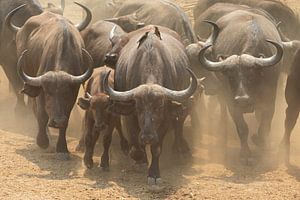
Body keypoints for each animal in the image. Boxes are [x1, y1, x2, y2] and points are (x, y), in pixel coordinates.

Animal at [7, 2, 94, 159]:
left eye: (66, 93)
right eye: (48, 93)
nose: (57, 121)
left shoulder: (73, 93)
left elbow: (66, 119)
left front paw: (62, 147)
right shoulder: (40, 88)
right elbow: (41, 115)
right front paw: (42, 141)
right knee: (35, 108)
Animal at [103, 25, 199, 185]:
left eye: (159, 107)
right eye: (138, 108)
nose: (147, 136)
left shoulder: (165, 119)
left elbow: (156, 148)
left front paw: (154, 174)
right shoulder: (130, 116)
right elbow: (135, 142)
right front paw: (140, 160)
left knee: (179, 124)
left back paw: (180, 150)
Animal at [197, 9, 284, 162]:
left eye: (251, 76)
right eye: (231, 77)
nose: (243, 100)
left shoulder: (270, 97)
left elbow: (265, 124)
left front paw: (262, 143)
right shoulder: (233, 103)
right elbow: (242, 128)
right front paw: (245, 154)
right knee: (223, 110)